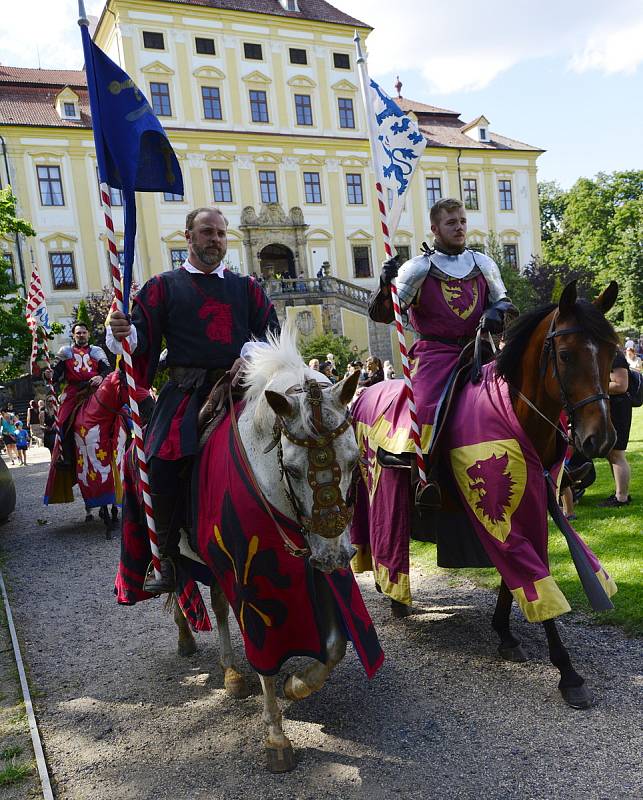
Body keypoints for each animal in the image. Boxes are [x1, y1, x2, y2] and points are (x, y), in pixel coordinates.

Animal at [170, 328, 368, 772]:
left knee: (218, 606)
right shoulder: (253, 586)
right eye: (292, 469)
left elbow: (334, 647)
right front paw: (276, 735)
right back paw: (186, 636)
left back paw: (229, 672)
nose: (333, 556)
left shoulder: (310, 569)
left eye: (354, 461)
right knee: (173, 584)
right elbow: (264, 651)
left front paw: (298, 684)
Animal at [350, 282, 620, 708]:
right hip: (376, 486)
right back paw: (393, 593)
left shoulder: (530, 504)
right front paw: (568, 673)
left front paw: (506, 635)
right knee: (382, 539)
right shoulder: (500, 509)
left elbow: (520, 574)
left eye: (612, 353)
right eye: (565, 354)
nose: (600, 439)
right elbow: (530, 571)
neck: (515, 410)